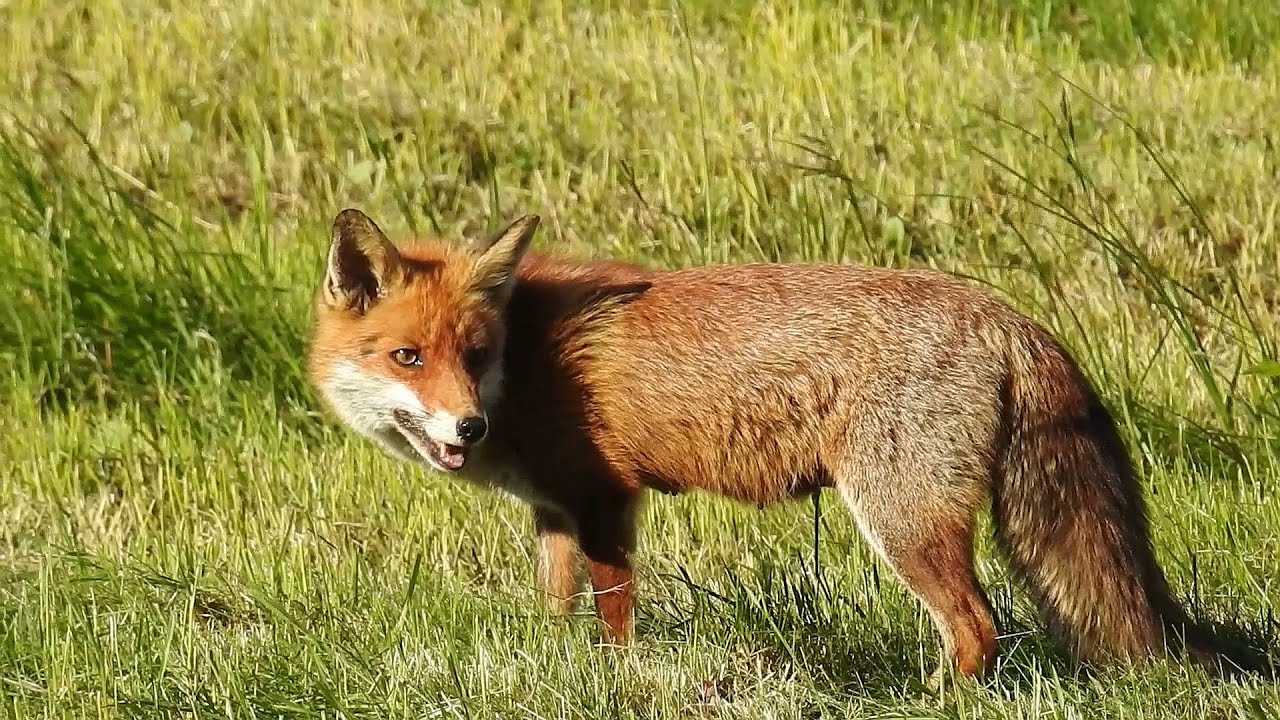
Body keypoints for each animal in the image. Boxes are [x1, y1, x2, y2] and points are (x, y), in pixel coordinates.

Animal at [308, 207, 1251, 681]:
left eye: (474, 355)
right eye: (409, 357)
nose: (466, 425)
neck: (532, 356)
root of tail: (1006, 314)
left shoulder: (607, 498)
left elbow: (614, 621)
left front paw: (615, 685)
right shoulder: (557, 511)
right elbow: (555, 608)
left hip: (901, 520)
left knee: (978, 630)